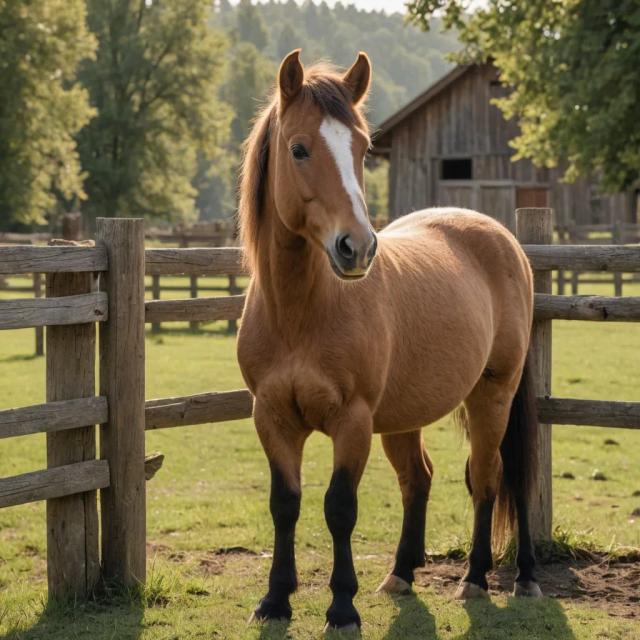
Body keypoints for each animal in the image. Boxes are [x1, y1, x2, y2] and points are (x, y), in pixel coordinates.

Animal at [236, 49, 541, 632]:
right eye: (299, 148)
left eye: (362, 148)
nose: (356, 247)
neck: (300, 314)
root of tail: (504, 238)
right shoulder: (272, 417)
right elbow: (285, 504)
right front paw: (275, 599)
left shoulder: (352, 420)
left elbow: (339, 508)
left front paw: (341, 607)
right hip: (405, 413)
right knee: (418, 479)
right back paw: (402, 573)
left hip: (494, 394)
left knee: (496, 476)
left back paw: (495, 577)